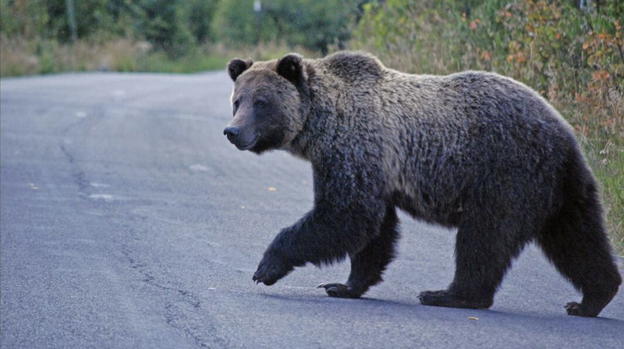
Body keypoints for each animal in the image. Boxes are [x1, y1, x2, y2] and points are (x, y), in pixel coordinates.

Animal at [223, 51, 620, 316]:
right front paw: (344, 285)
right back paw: (591, 298)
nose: (232, 131)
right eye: (237, 100)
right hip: (560, 186)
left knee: (485, 237)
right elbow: (374, 231)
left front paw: (267, 267)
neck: (321, 124)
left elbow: (345, 214)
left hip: (504, 172)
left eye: (262, 101)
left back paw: (450, 294)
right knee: (577, 238)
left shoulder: (354, 148)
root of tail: (563, 131)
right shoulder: (376, 169)